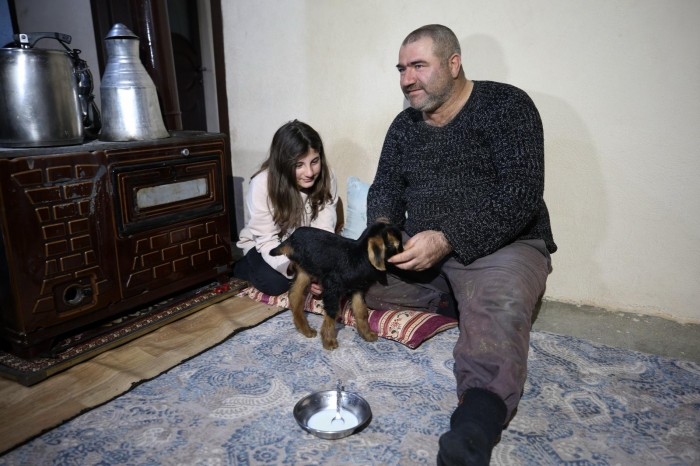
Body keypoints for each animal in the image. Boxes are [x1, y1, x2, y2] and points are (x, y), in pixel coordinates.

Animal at [270, 221, 403, 350]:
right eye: (396, 245)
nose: (403, 253)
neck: (358, 256)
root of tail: (290, 239)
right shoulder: (332, 287)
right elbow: (333, 311)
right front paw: (329, 341)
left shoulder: (357, 289)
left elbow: (361, 311)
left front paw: (367, 334)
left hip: (305, 270)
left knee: (295, 294)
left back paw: (305, 329)